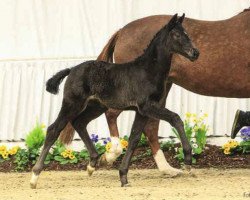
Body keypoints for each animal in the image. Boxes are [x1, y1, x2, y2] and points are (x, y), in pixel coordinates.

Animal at [30, 14, 199, 188]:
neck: (147, 71)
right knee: (54, 129)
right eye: (177, 35)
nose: (195, 53)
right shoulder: (148, 106)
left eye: (187, 33)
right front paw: (188, 160)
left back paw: (92, 164)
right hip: (72, 104)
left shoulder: (142, 111)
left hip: (96, 106)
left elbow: (134, 138)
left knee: (79, 122)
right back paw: (34, 177)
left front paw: (123, 177)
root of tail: (72, 70)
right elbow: (176, 118)